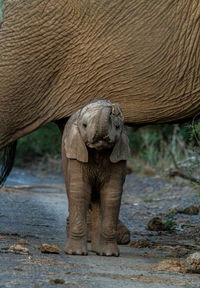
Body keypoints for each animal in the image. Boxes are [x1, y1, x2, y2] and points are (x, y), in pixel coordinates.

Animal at [62, 99, 130, 256]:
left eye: (117, 126)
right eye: (84, 125)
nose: (115, 107)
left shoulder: (119, 155)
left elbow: (111, 194)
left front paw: (110, 254)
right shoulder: (77, 151)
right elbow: (79, 190)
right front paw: (75, 253)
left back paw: (97, 251)